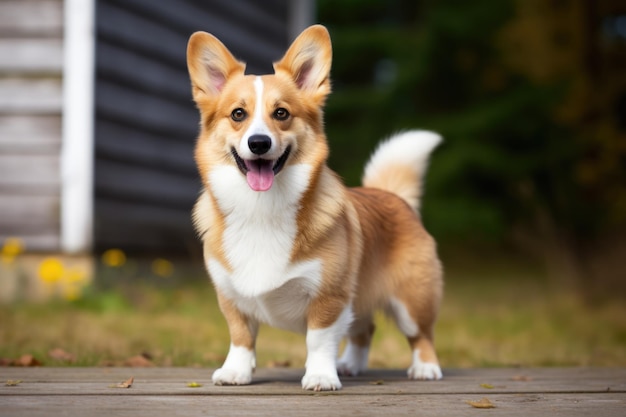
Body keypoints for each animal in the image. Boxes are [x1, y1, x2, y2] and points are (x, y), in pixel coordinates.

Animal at [186, 23, 444, 390]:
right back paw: (350, 364)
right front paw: (235, 372)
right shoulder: (231, 297)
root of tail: (391, 195)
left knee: (421, 335)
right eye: (238, 114)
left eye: (281, 113)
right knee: (364, 329)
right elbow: (241, 337)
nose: (259, 143)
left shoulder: (329, 297)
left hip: (412, 300)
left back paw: (425, 368)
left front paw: (321, 375)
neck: (261, 208)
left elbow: (318, 340)